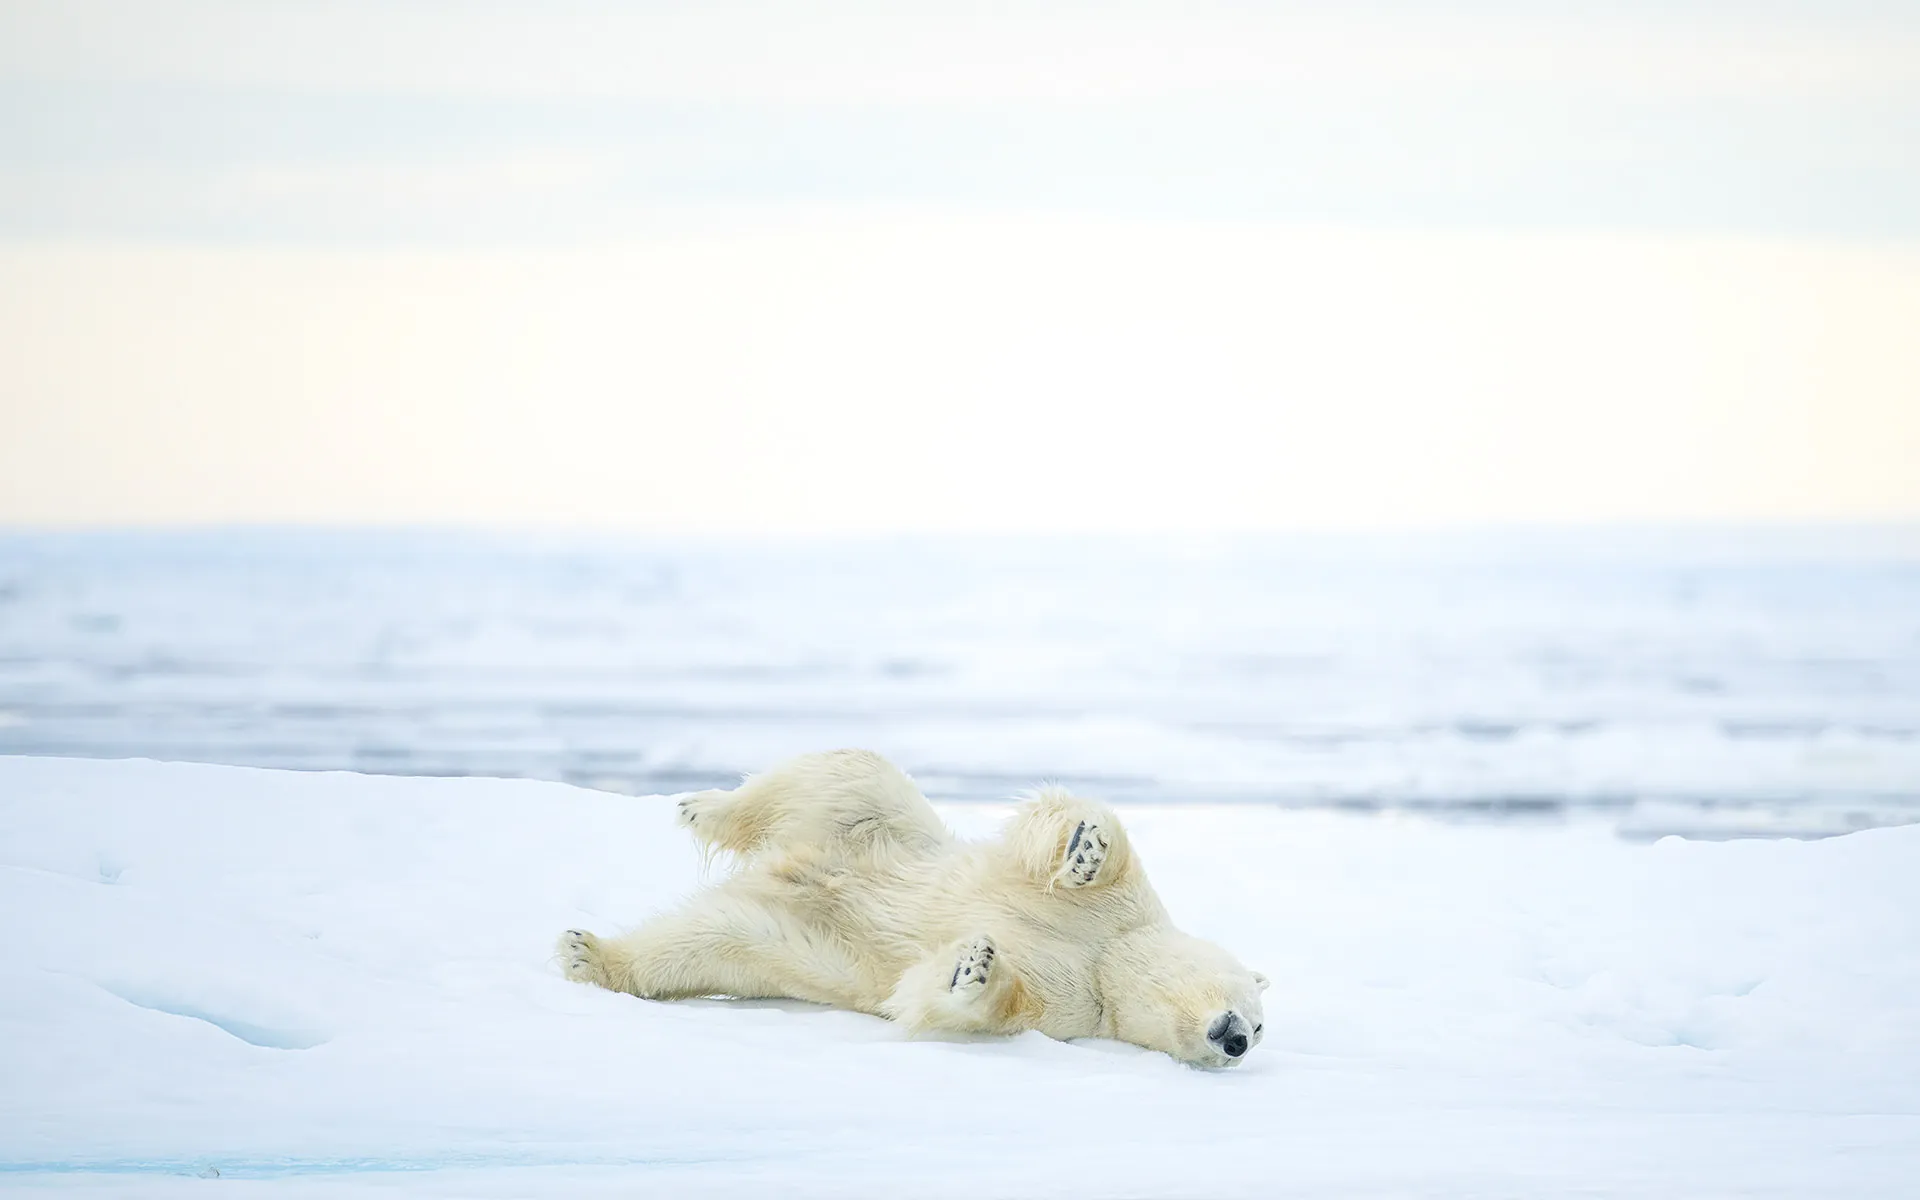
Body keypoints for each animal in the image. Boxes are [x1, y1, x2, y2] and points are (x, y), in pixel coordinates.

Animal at [560, 748, 1274, 1067]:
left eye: (1261, 1032)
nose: (1237, 1040)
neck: (1107, 965)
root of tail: (790, 865)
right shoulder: (1121, 914)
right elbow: (1097, 847)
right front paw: (1087, 849)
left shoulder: (1075, 1010)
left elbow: (1000, 1003)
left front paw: (975, 968)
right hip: (879, 824)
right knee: (845, 775)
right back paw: (701, 806)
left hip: (786, 938)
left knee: (703, 941)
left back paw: (591, 956)